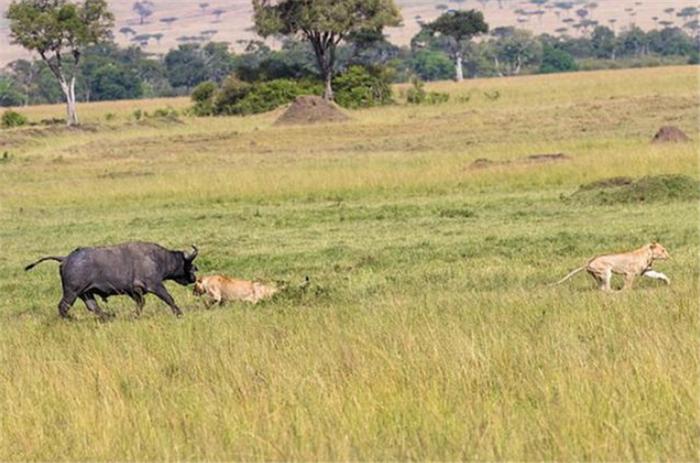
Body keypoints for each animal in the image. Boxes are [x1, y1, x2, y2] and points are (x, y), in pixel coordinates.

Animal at [24, 243, 198, 320]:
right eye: (188, 264)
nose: (194, 277)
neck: (158, 259)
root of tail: (65, 258)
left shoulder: (134, 291)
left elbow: (140, 303)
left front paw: (134, 315)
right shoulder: (155, 285)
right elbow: (169, 299)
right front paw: (179, 313)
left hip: (85, 293)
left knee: (93, 307)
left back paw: (108, 316)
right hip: (71, 293)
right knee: (63, 307)